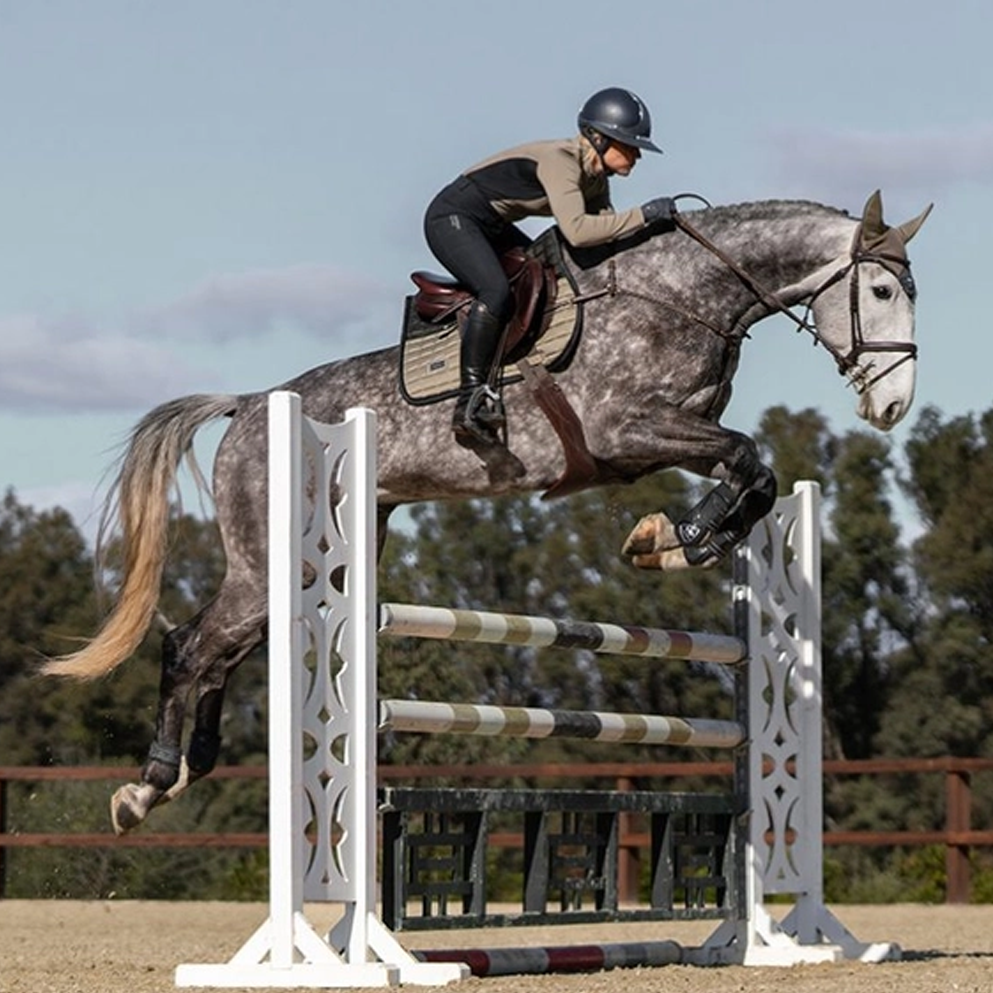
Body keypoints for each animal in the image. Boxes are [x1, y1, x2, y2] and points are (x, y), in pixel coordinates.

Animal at [42, 190, 931, 833]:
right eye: (881, 289)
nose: (892, 408)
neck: (685, 293)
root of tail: (252, 404)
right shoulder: (625, 429)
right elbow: (749, 457)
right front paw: (672, 540)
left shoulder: (666, 439)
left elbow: (757, 475)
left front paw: (672, 542)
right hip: (266, 558)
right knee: (191, 646)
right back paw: (148, 785)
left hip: (303, 561)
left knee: (220, 652)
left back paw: (187, 769)